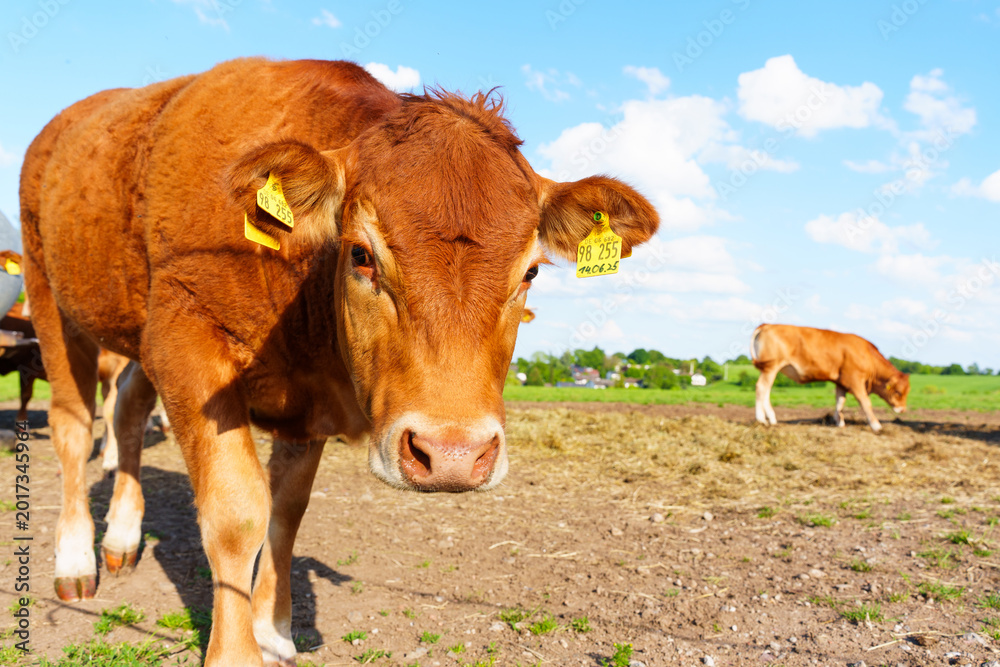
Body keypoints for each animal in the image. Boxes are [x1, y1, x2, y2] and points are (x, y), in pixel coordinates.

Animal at [20, 57, 659, 666]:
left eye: (529, 272)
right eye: (360, 254)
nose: (453, 456)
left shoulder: (306, 405)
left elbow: (286, 511)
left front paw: (273, 636)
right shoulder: (185, 342)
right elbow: (237, 512)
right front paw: (238, 652)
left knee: (127, 405)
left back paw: (121, 539)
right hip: (51, 299)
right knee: (72, 425)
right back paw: (75, 561)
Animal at [751, 324, 910, 432]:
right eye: (898, 392)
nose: (902, 410)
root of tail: (768, 325)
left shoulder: (841, 382)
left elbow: (840, 402)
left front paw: (839, 422)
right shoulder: (855, 381)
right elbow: (865, 402)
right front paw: (876, 425)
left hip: (770, 369)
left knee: (766, 391)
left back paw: (771, 419)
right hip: (771, 367)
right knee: (761, 388)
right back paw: (761, 420)